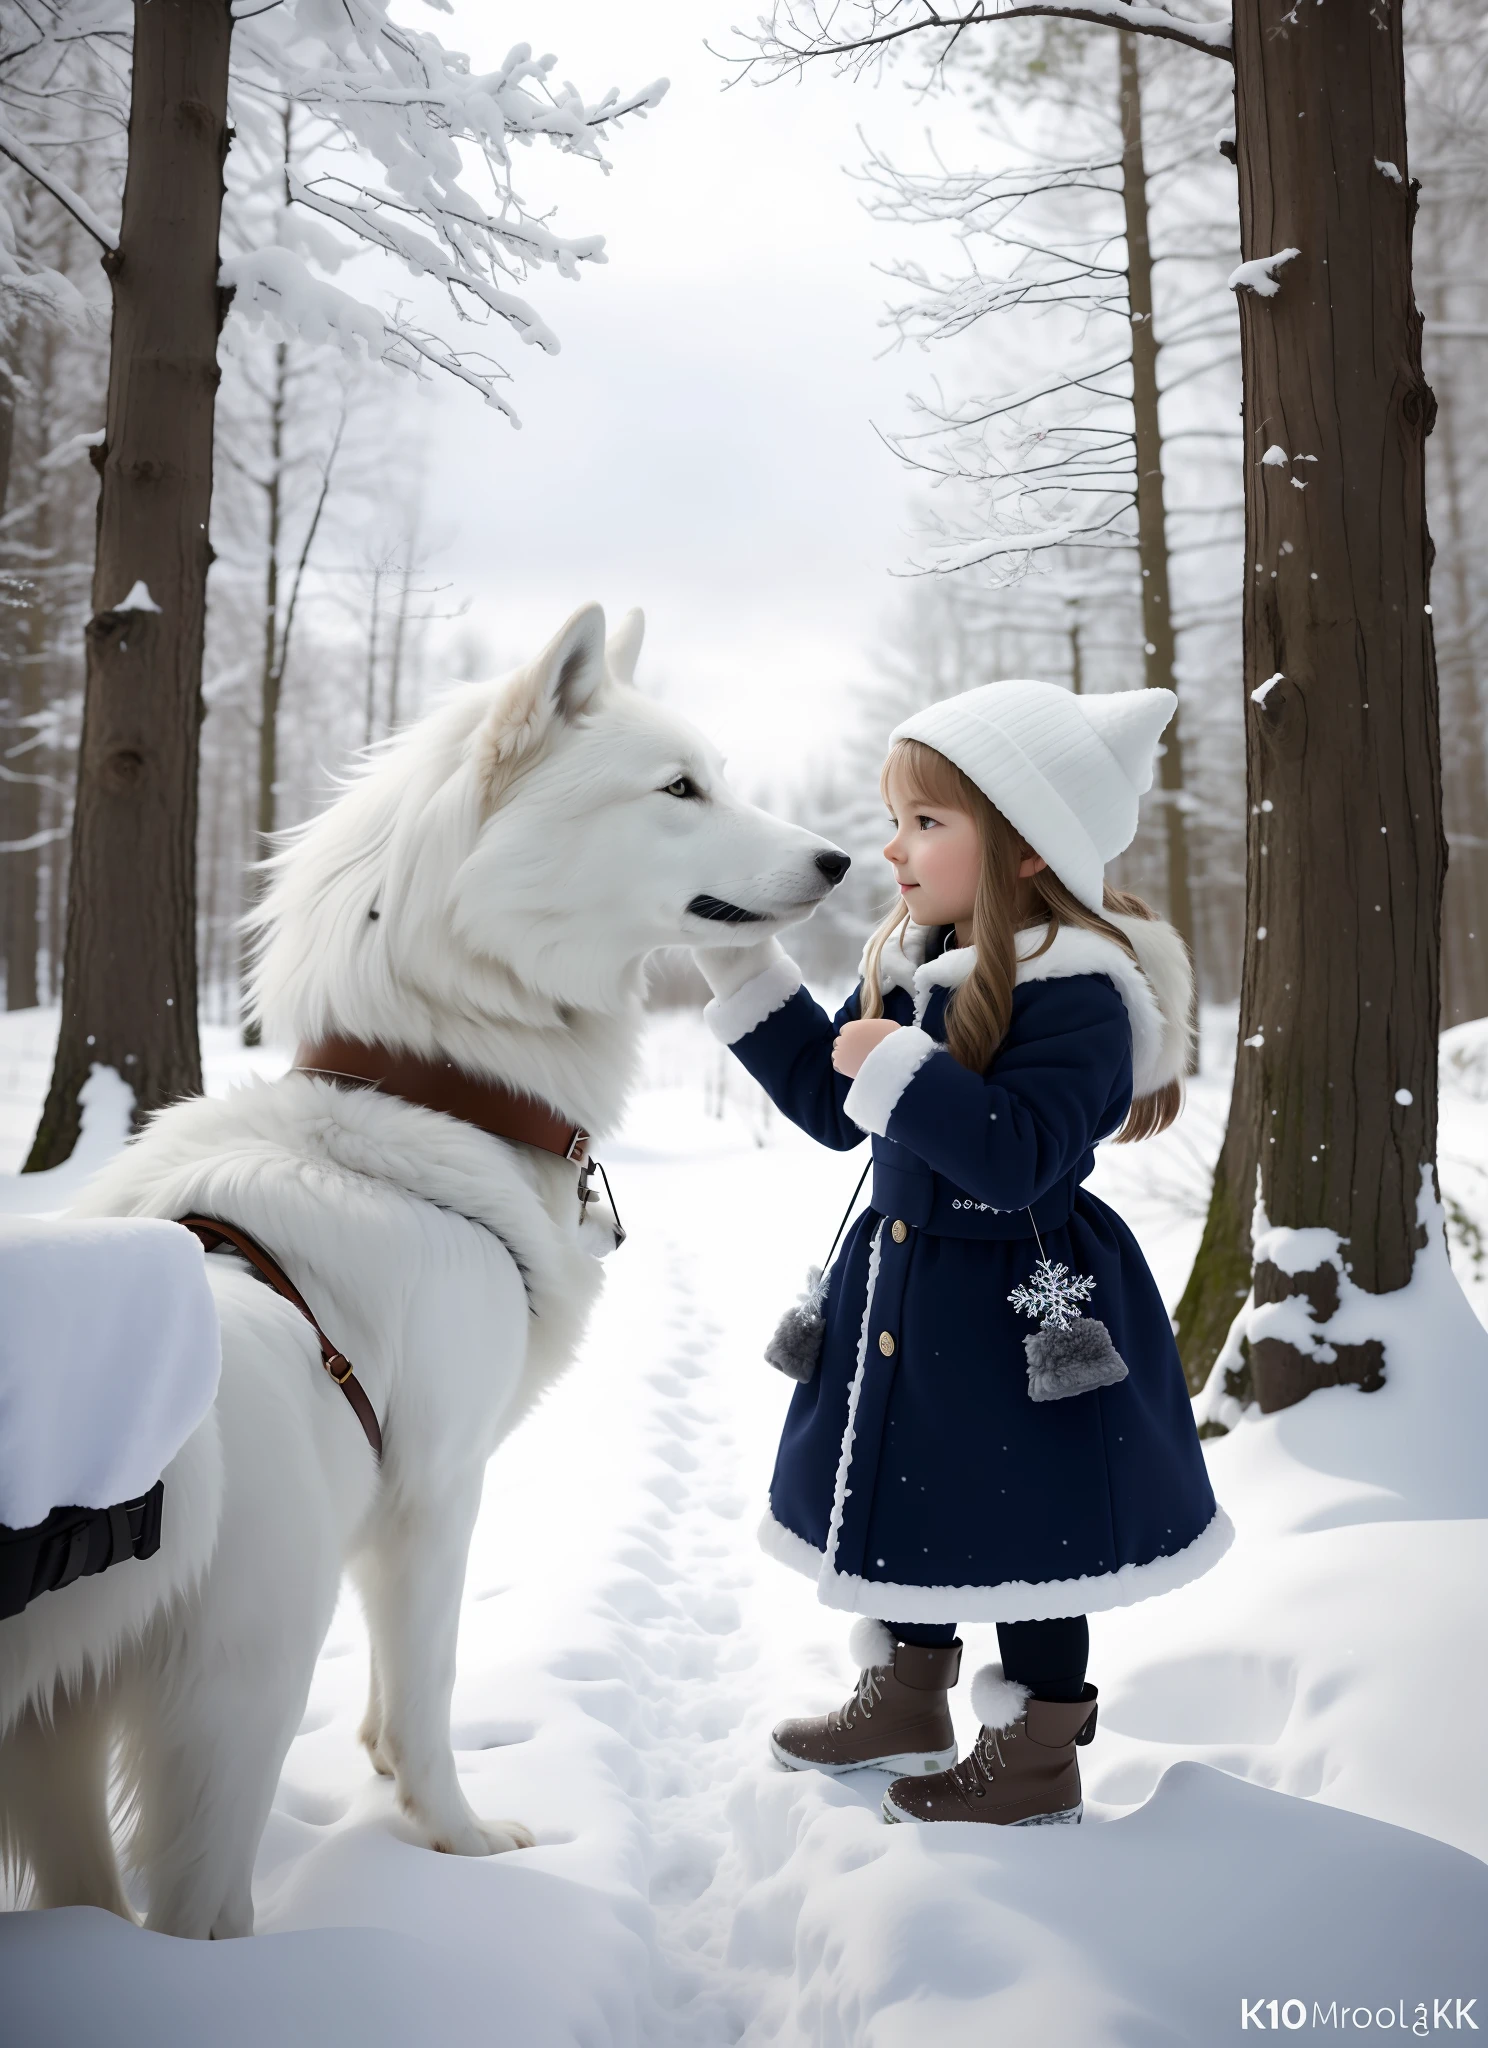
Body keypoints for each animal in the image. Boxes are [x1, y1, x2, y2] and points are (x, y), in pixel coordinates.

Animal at [0, 602, 843, 1933]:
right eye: (680, 787)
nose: (842, 861)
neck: (432, 1094)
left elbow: (394, 1694)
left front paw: (390, 1774)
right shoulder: (436, 1490)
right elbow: (431, 1679)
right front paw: (454, 1833)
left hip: (58, 1743)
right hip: (235, 1699)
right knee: (194, 1903)